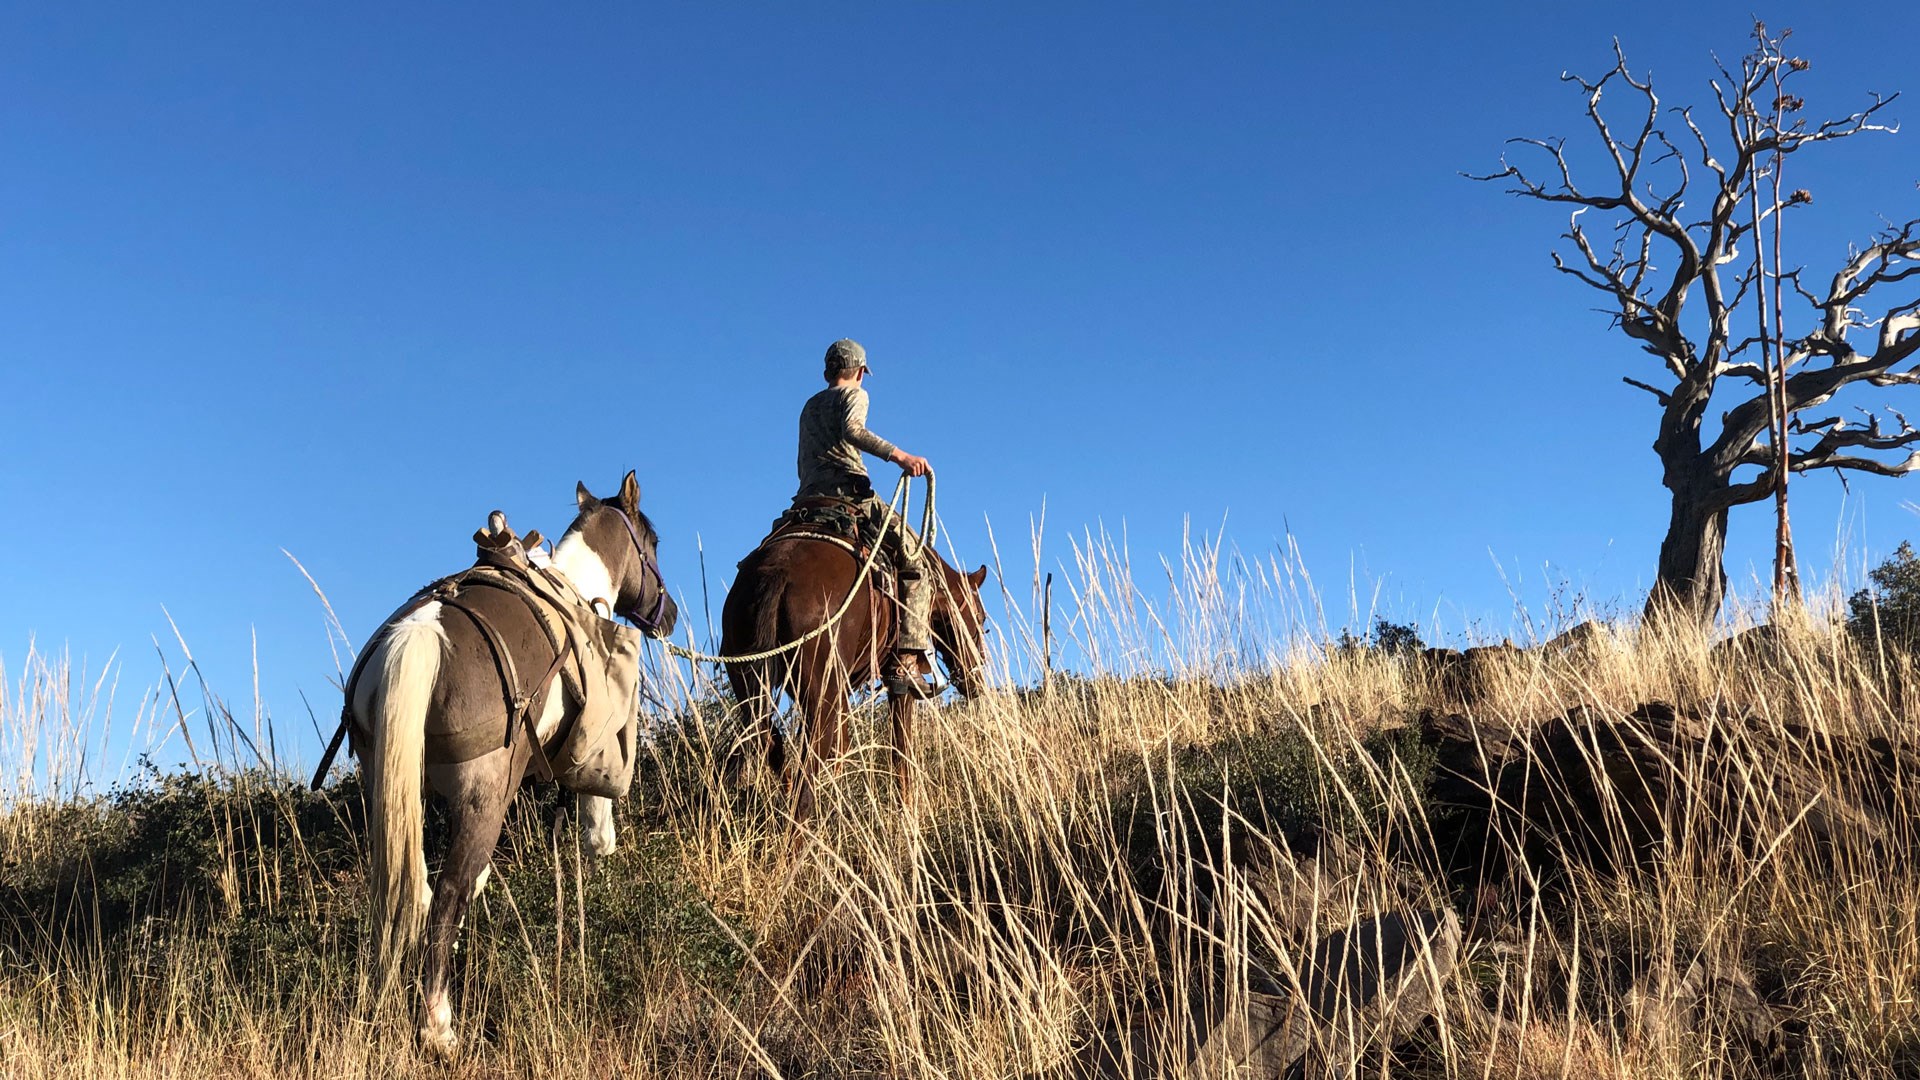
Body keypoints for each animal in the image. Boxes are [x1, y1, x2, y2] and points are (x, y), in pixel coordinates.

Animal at [345, 470, 675, 1053]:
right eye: (653, 542)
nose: (671, 615)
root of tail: (417, 637)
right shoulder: (592, 757)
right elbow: (599, 836)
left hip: (387, 791)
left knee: (406, 890)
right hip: (483, 801)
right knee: (446, 893)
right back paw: (438, 1026)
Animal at [721, 530, 990, 814]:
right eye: (980, 616)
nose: (976, 680)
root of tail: (779, 571)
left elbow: (842, 748)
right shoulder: (900, 686)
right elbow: (900, 749)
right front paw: (906, 809)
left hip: (750, 689)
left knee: (769, 740)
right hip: (820, 701)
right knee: (805, 779)